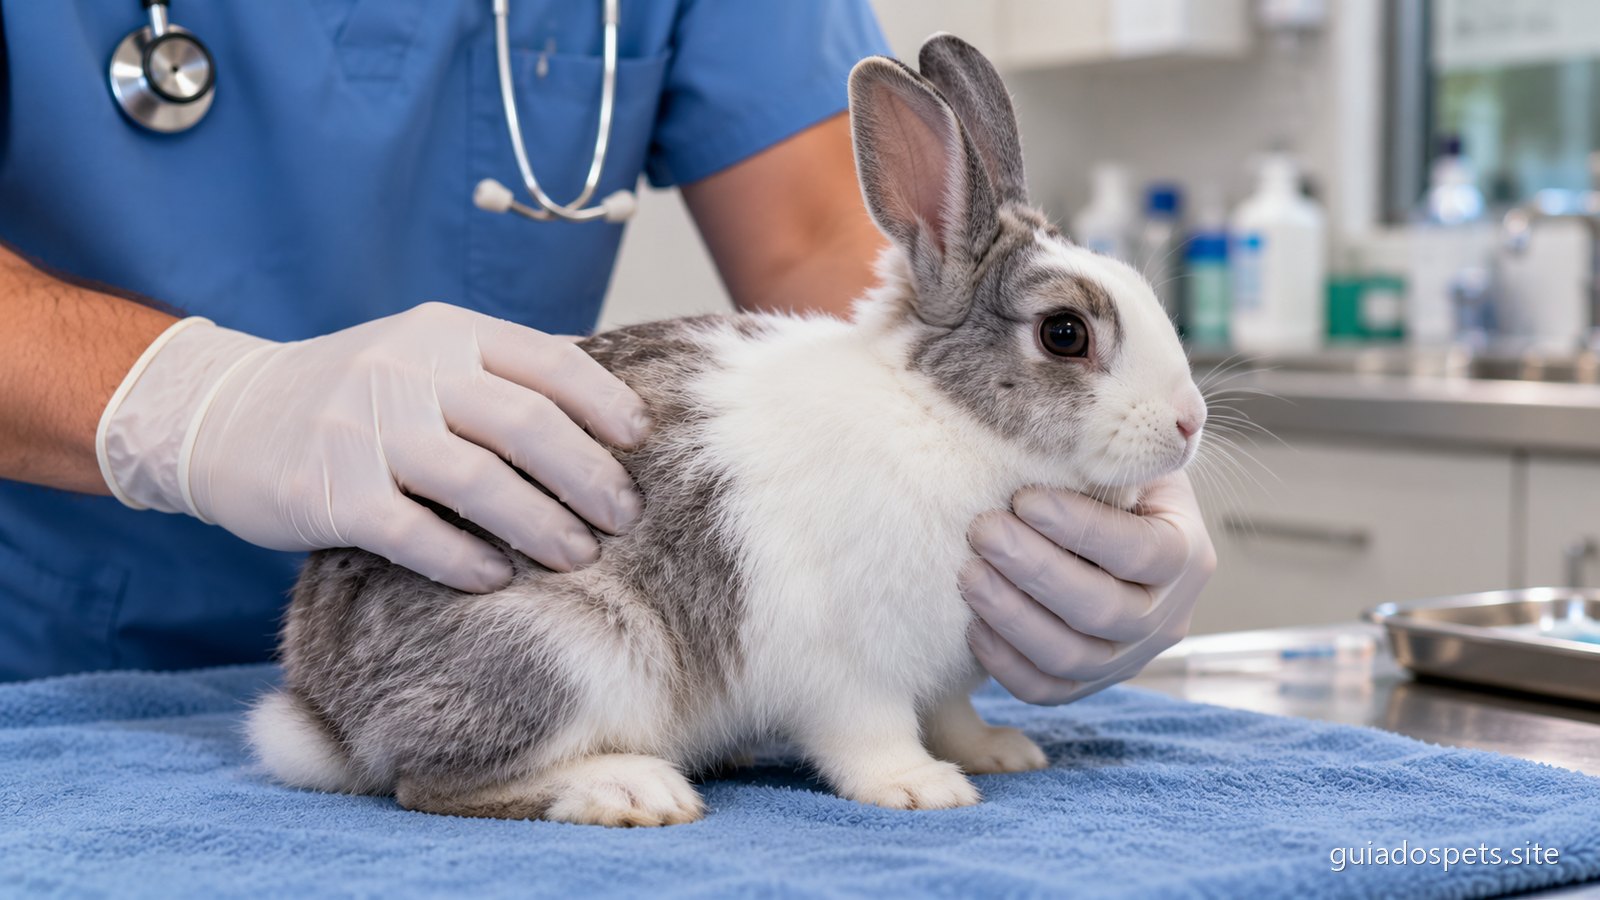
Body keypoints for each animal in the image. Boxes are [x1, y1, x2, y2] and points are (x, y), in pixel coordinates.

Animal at [245, 34, 1206, 827]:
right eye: (1065, 334)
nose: (1189, 423)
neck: (947, 417)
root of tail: (325, 715)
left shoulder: (941, 671)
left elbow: (952, 712)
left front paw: (999, 754)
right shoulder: (851, 667)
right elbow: (872, 734)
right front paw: (922, 789)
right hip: (566, 654)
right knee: (433, 785)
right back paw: (632, 791)